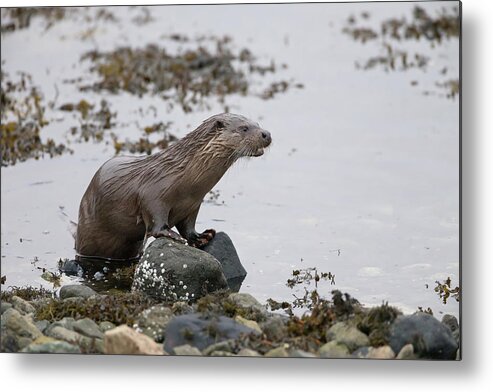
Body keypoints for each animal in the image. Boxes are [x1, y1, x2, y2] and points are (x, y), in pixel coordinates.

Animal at [75, 113, 270, 260]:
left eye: (258, 123)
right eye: (244, 128)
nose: (266, 134)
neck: (185, 178)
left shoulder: (193, 205)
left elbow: (188, 226)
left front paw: (202, 236)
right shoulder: (153, 196)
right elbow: (156, 224)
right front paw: (170, 234)